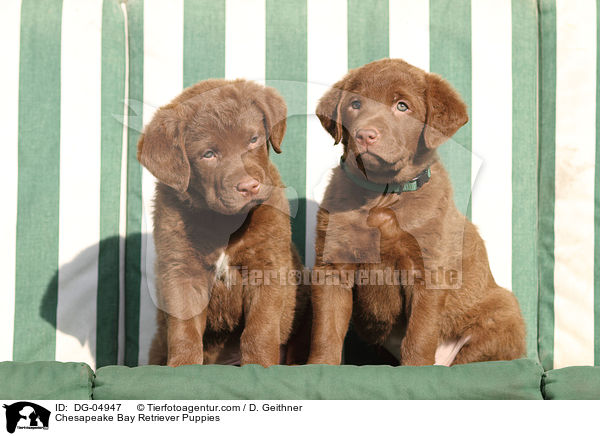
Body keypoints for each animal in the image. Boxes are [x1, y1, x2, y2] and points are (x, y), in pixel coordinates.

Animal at [138, 79, 308, 368]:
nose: (249, 187)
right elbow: (184, 326)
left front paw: (259, 365)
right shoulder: (181, 270)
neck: (223, 222)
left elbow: (260, 328)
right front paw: (182, 365)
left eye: (253, 139)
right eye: (208, 154)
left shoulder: (268, 265)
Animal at [310, 58, 524, 364]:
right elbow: (326, 330)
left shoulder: (429, 270)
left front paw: (416, 368)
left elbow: (419, 335)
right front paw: (319, 366)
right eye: (355, 104)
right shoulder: (332, 267)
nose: (365, 135)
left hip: (504, 310)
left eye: (402, 106)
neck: (381, 196)